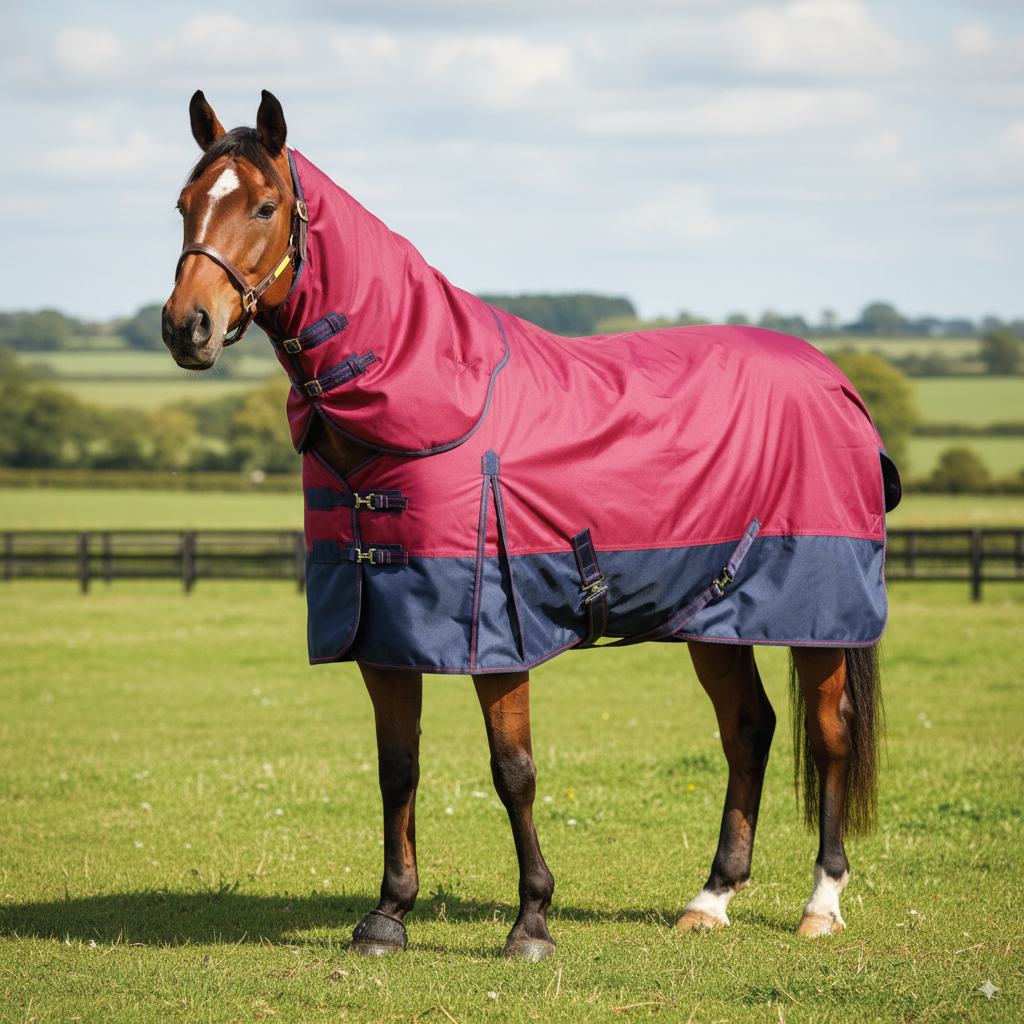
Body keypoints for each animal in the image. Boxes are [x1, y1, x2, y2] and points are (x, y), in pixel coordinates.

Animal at [162, 89, 895, 960]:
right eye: (183, 204)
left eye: (265, 206)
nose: (186, 327)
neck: (426, 398)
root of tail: (835, 382)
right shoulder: (383, 633)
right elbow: (397, 768)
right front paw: (387, 915)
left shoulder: (497, 636)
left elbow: (513, 769)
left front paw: (532, 922)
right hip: (714, 616)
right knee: (748, 730)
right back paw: (711, 898)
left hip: (818, 617)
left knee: (829, 736)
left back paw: (822, 902)